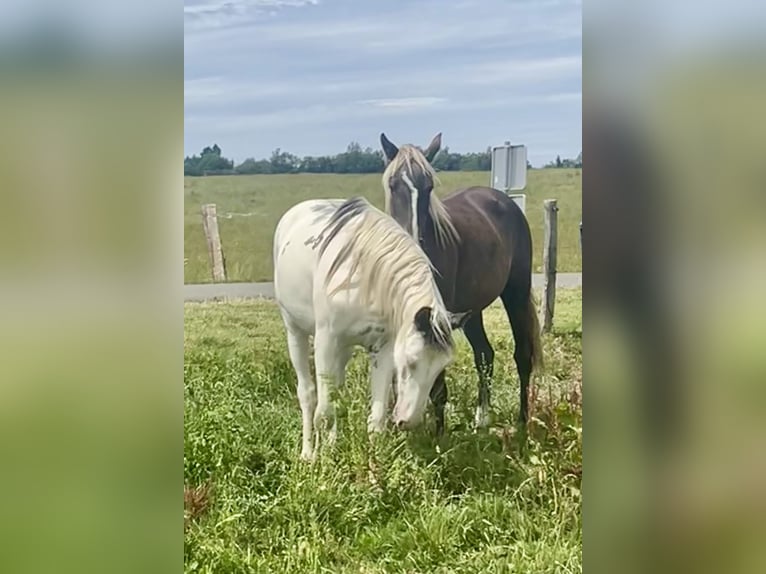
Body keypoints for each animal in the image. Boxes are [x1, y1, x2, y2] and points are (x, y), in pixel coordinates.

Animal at [273, 196, 470, 461]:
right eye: (411, 362)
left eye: (441, 367)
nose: (408, 421)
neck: (365, 277)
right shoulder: (326, 341)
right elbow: (323, 413)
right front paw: (322, 463)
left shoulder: (384, 349)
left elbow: (375, 421)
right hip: (296, 332)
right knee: (307, 394)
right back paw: (308, 453)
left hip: (343, 349)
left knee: (337, 392)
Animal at [379, 132, 543, 434]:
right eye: (393, 185)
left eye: (429, 186)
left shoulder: (438, 322)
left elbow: (438, 387)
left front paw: (438, 434)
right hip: (472, 310)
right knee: (485, 355)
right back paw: (482, 419)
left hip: (515, 294)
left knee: (522, 356)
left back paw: (522, 422)